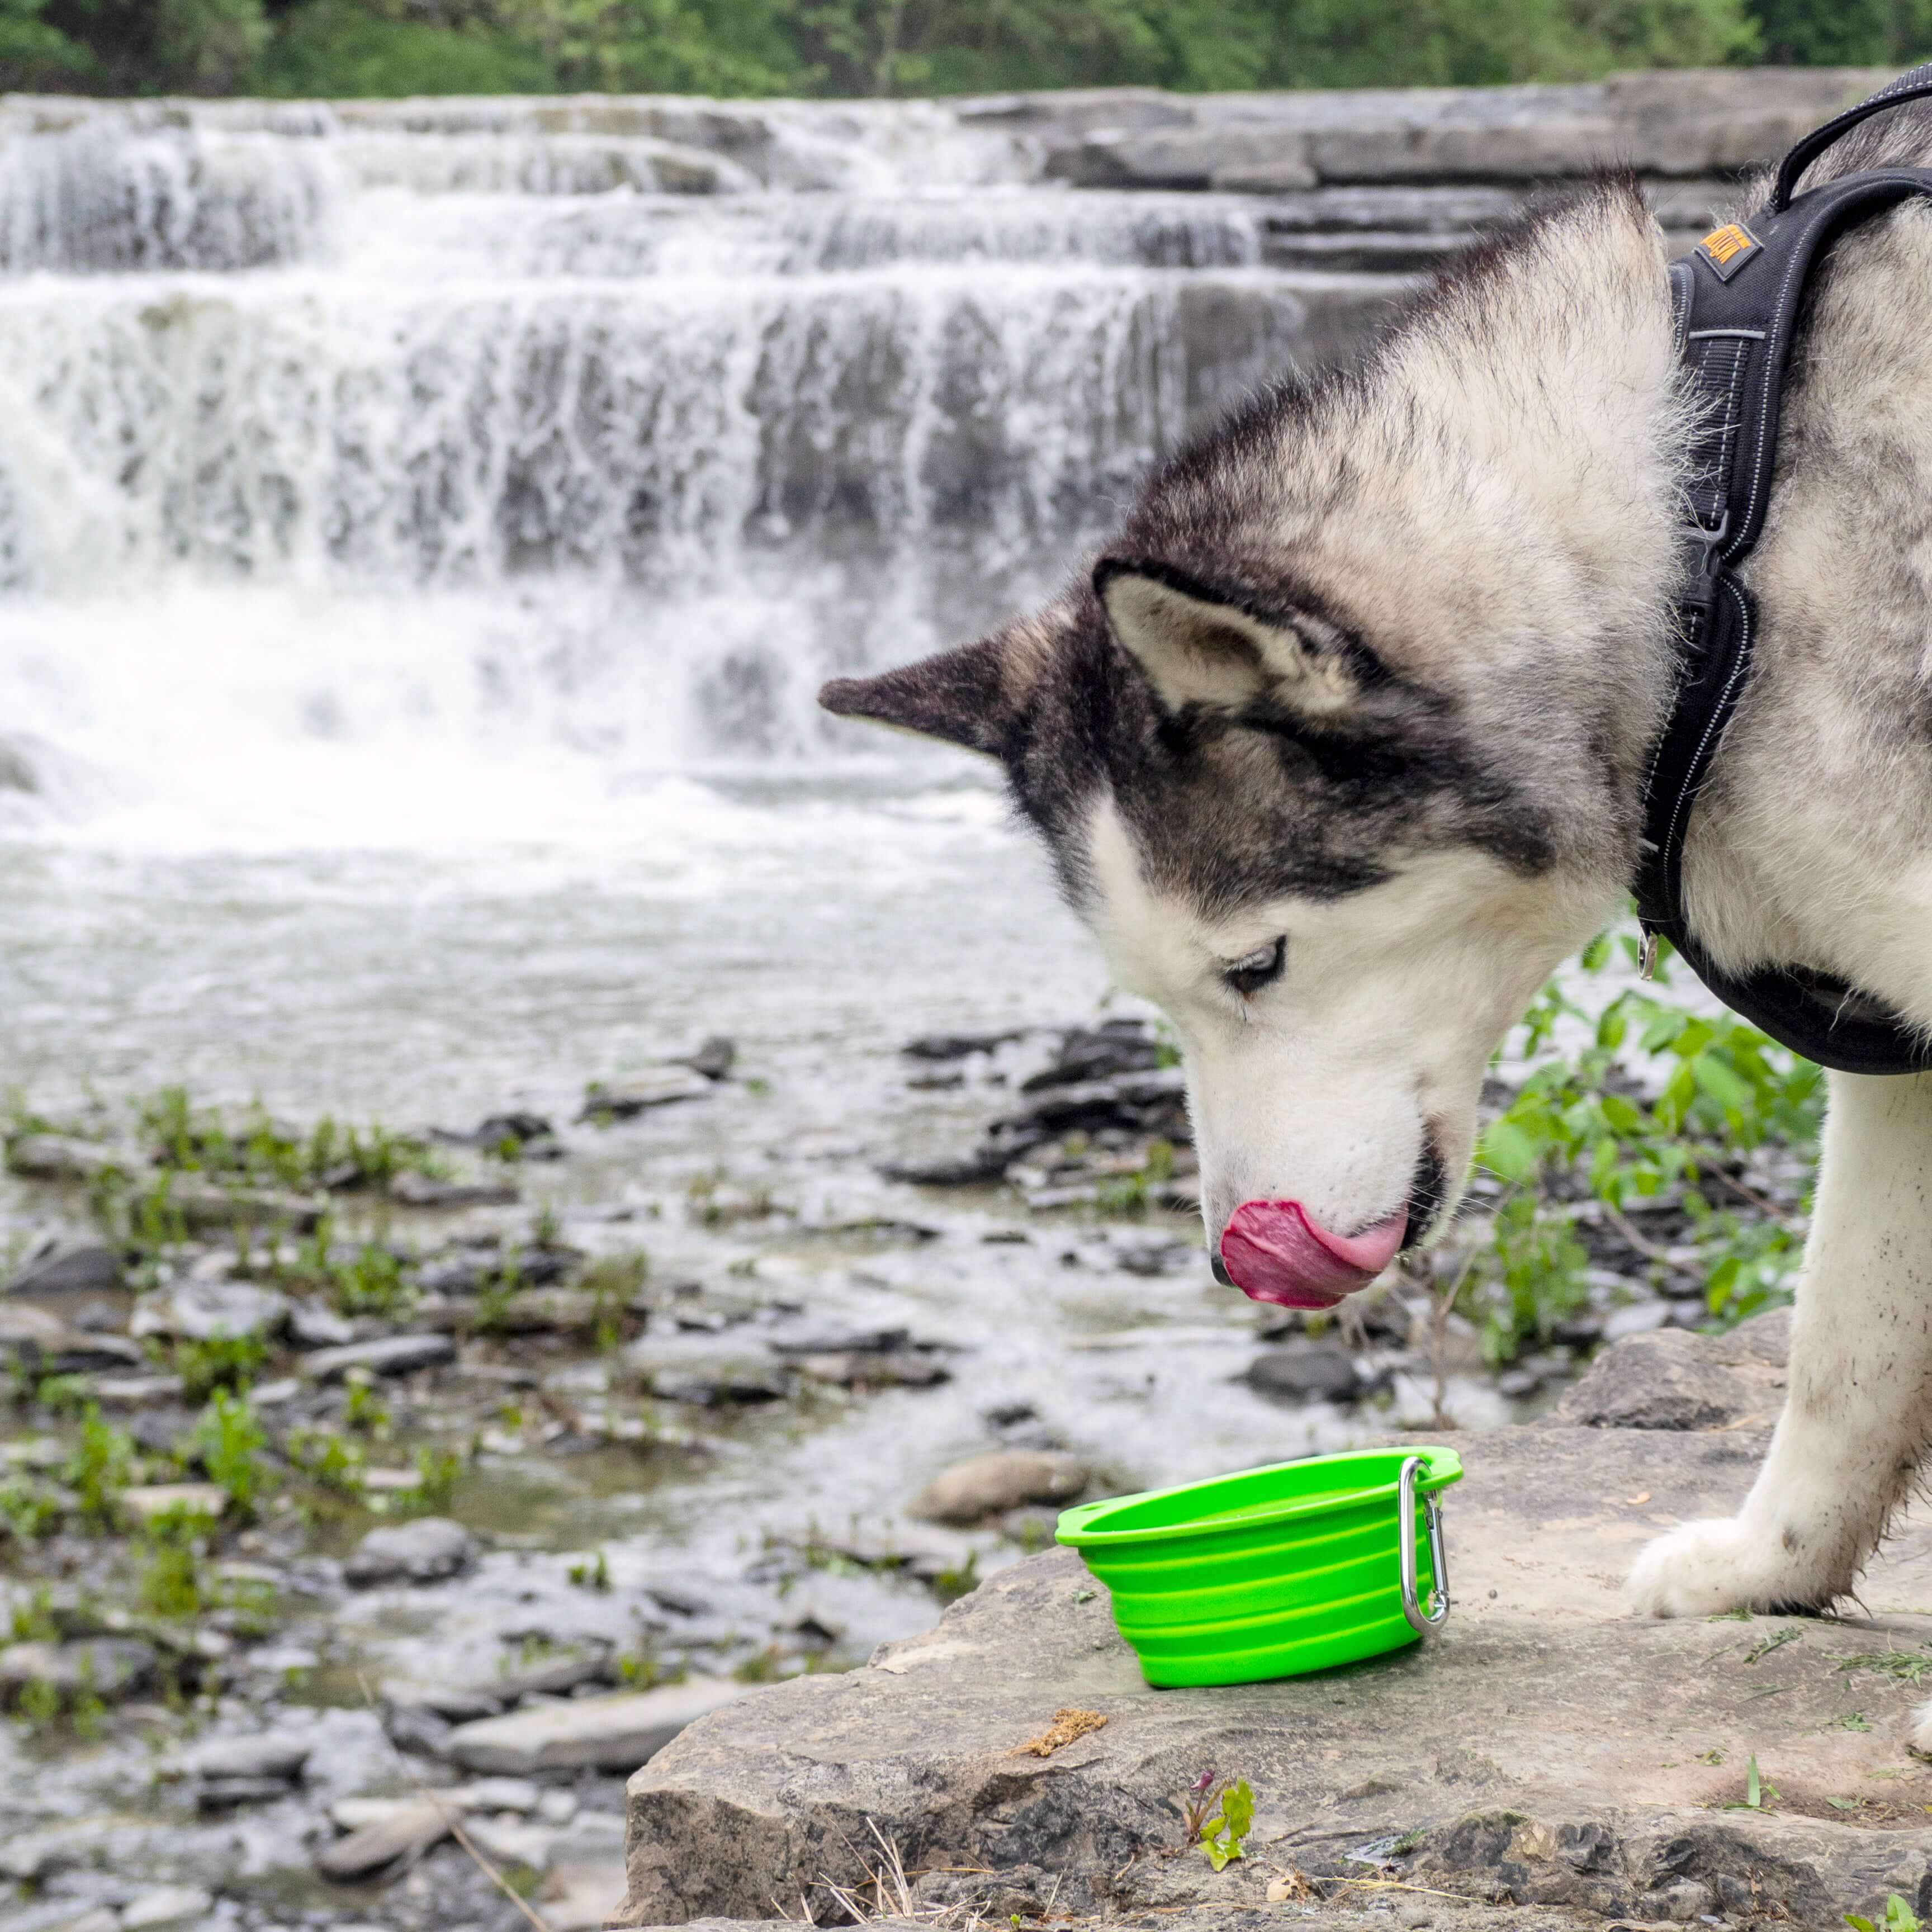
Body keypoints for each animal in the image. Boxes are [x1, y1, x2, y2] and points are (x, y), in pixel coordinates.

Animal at [823, 94, 1932, 1739]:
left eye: (1256, 962)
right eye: (1154, 996)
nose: (1237, 1260)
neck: (1715, 526)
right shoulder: (1895, 1045)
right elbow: (1845, 1340)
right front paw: (1769, 1567)